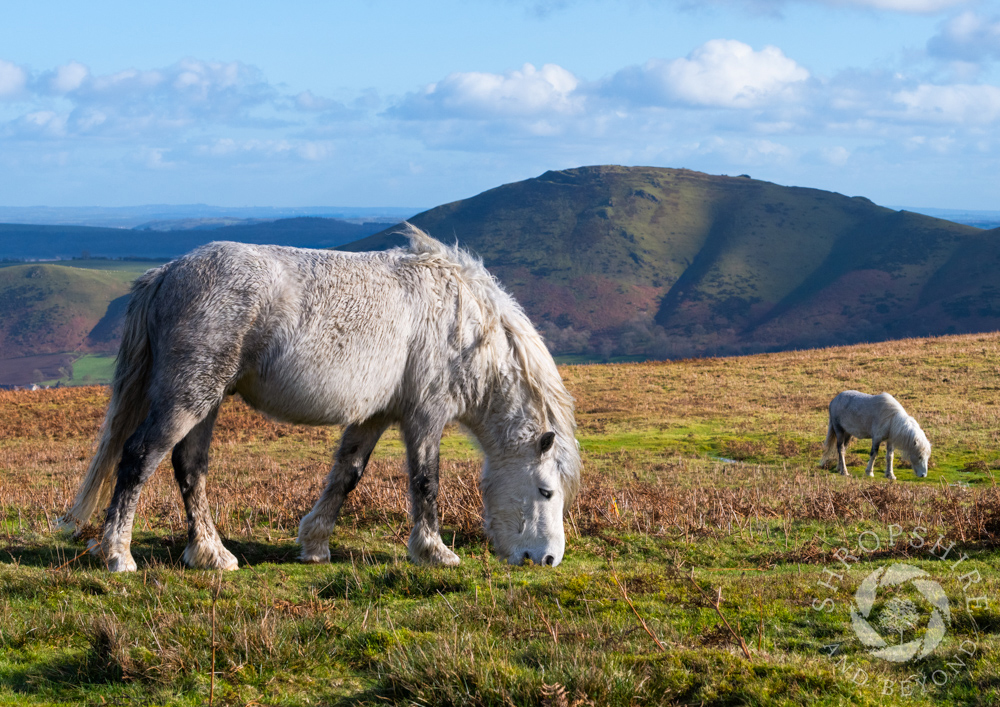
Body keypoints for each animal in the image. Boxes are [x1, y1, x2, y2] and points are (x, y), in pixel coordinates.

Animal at [58, 224, 581, 572]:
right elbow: (425, 482)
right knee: (139, 457)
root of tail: (167, 273)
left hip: (205, 401)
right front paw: (435, 551)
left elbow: (347, 475)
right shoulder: (425, 416)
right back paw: (118, 554)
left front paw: (314, 544)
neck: (466, 323)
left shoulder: (375, 415)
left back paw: (210, 553)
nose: (548, 558)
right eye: (546, 491)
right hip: (187, 396)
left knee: (189, 467)